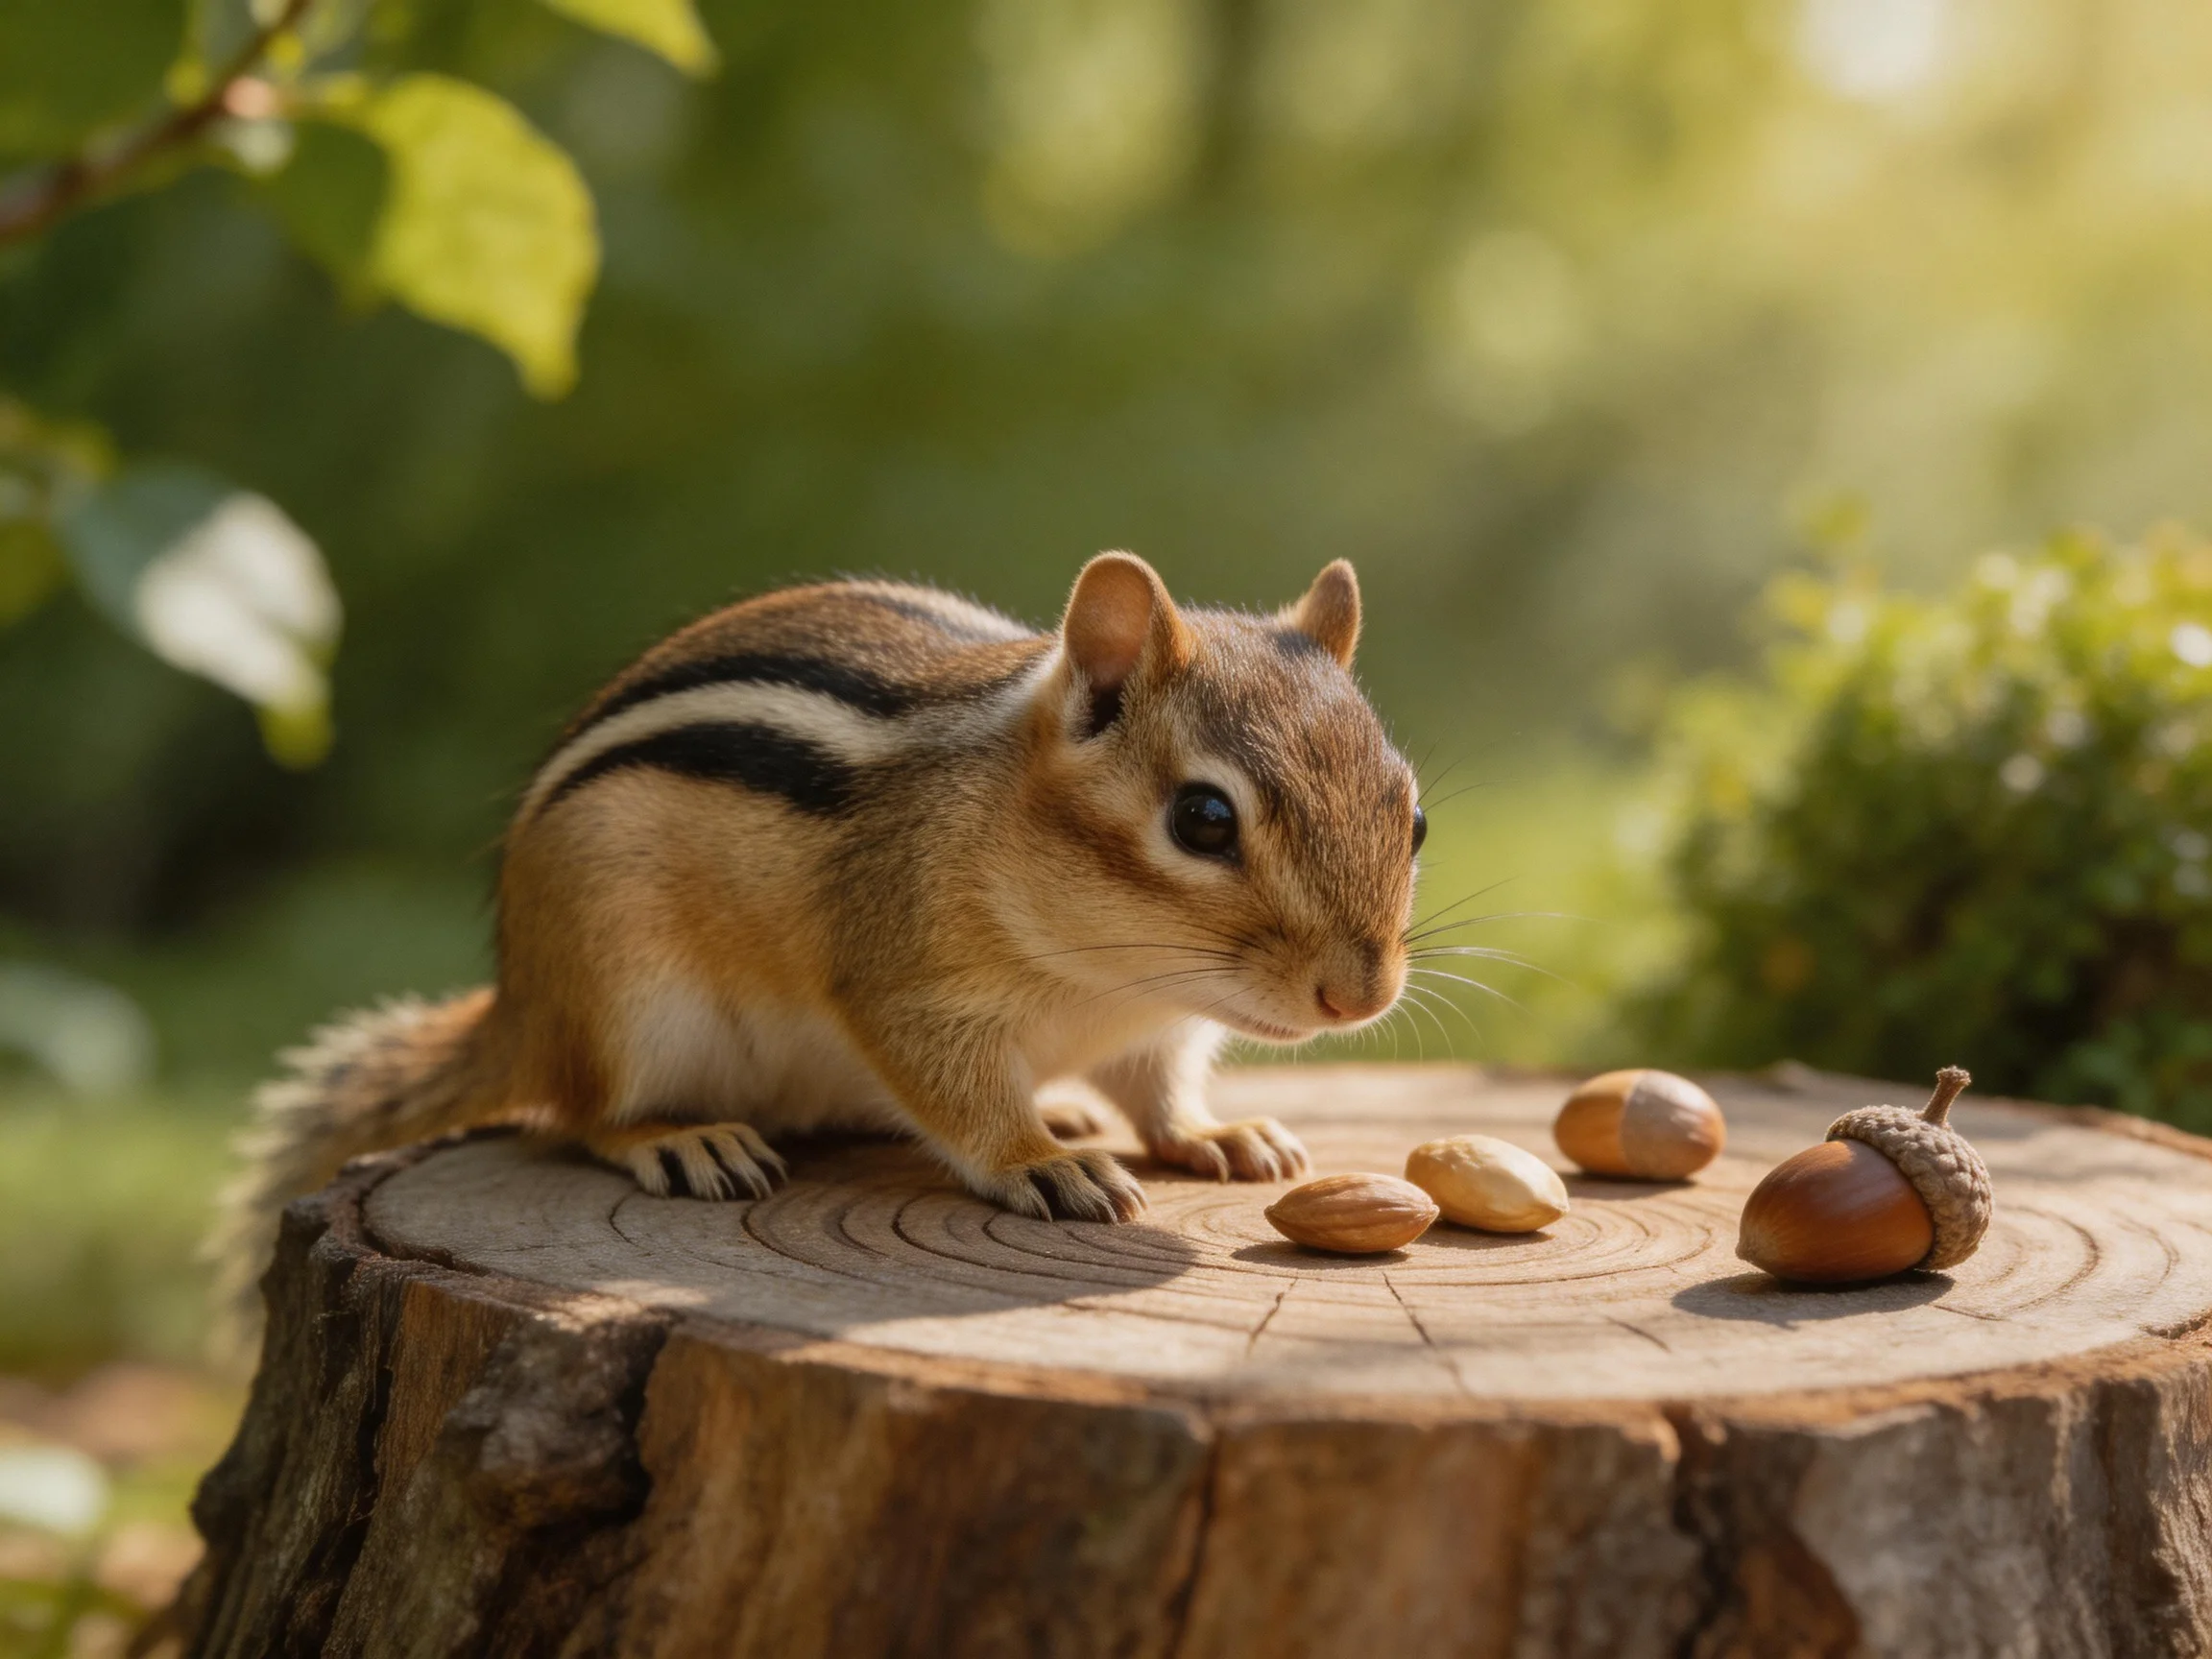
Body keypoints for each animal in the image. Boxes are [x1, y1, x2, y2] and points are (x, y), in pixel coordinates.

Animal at [211, 552, 1423, 1334]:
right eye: (1203, 821)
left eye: (1411, 818)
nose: (1360, 995)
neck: (1112, 979)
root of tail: (522, 1001)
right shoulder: (905, 984)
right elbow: (957, 1093)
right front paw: (1039, 1160)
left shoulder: (1157, 1034)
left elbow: (1161, 1094)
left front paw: (1216, 1135)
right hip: (622, 996)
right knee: (583, 1110)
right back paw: (683, 1139)